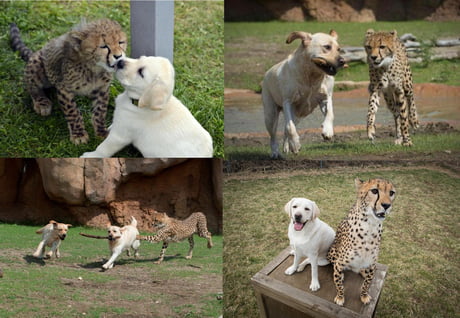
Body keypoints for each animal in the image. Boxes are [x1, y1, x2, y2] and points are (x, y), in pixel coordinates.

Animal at [80, 56, 212, 158]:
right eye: (140, 58)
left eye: (141, 72)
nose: (120, 61)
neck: (137, 102)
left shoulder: (120, 135)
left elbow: (104, 148)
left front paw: (91, 156)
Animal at [262, 29, 344, 158]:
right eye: (327, 47)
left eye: (338, 49)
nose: (342, 61)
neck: (311, 77)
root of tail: (266, 73)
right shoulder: (288, 102)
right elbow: (290, 127)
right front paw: (295, 144)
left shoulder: (326, 98)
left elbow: (330, 113)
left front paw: (327, 130)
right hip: (270, 114)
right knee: (274, 135)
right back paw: (275, 152)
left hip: (298, 115)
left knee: (286, 128)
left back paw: (287, 146)